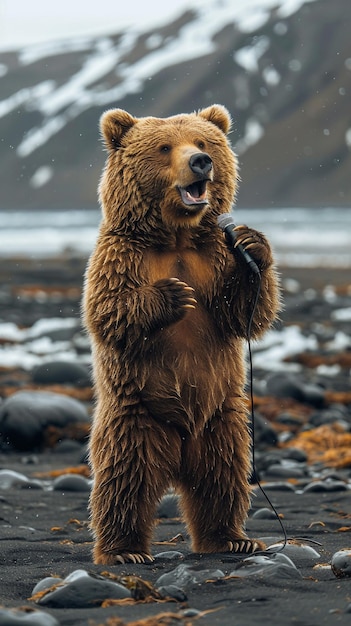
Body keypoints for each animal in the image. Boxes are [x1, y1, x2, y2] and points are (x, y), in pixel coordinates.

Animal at [82, 103, 280, 564]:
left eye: (203, 141)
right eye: (164, 147)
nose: (200, 162)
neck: (176, 237)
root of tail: (177, 458)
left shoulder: (216, 257)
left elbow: (244, 313)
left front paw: (255, 244)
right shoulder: (120, 254)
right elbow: (107, 310)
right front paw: (173, 295)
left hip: (222, 417)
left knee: (222, 474)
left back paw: (231, 537)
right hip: (135, 415)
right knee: (125, 477)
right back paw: (123, 549)